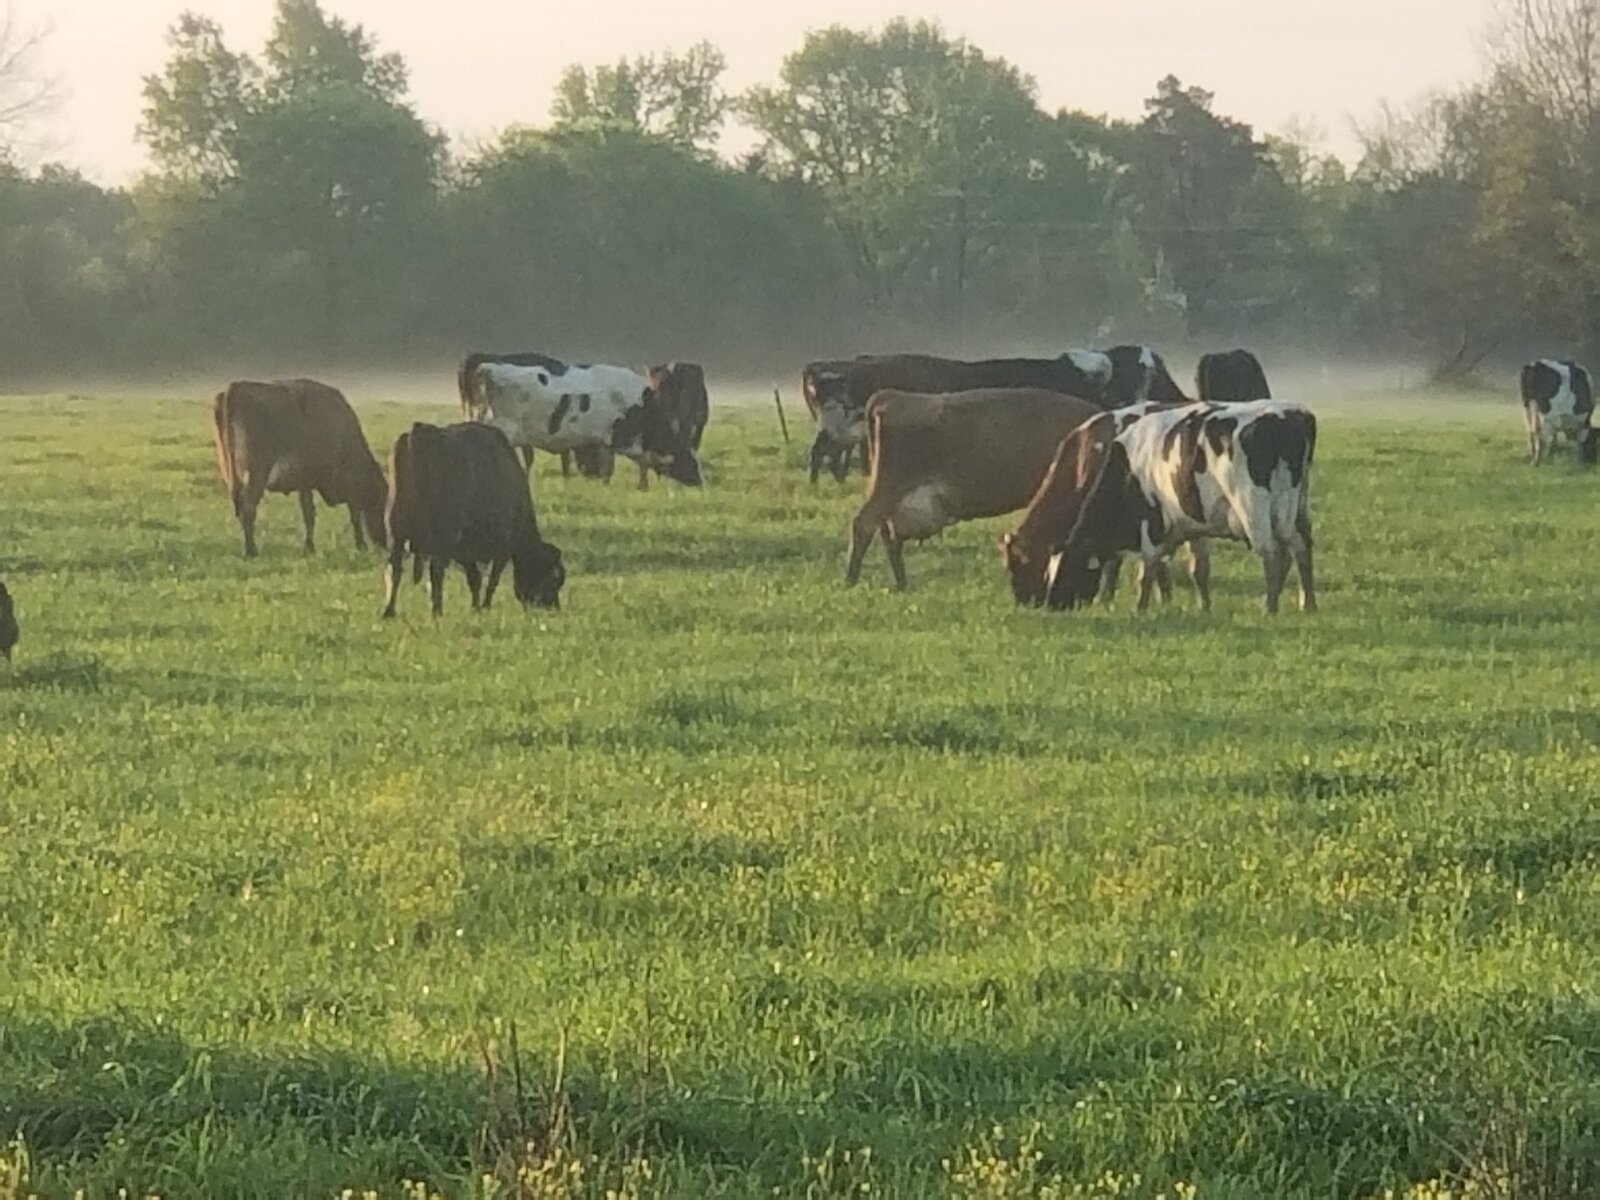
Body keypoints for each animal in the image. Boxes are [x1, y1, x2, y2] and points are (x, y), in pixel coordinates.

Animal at [211, 378, 388, 559]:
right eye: (382, 504)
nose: (384, 544)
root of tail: (236, 387)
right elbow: (348, 514)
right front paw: (360, 546)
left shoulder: (304, 483)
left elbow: (308, 513)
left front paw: (309, 547)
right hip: (256, 474)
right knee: (248, 508)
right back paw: (251, 551)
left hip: (231, 474)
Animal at [381, 422, 565, 619]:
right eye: (554, 578)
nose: (554, 607)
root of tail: (420, 431)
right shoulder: (502, 549)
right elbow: (492, 579)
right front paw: (484, 606)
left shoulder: (466, 552)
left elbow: (474, 579)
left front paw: (476, 607)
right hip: (441, 537)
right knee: (435, 572)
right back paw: (436, 610)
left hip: (396, 534)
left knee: (395, 568)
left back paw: (389, 611)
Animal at [457, 351, 703, 487]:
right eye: (691, 461)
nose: (700, 482)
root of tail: (486, 364)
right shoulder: (615, 438)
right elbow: (613, 466)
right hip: (498, 426)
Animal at [843, 388, 1105, 590]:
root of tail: (891, 396)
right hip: (890, 489)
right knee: (865, 525)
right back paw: (851, 581)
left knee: (887, 534)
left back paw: (901, 584)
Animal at [1044, 400, 1317, 615]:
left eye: (1068, 571)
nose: (1050, 605)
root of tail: (1290, 414)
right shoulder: (1193, 526)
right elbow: (1196, 569)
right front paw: (1203, 606)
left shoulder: (1152, 521)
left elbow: (1147, 569)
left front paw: (1140, 608)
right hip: (1295, 509)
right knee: (1301, 548)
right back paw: (1308, 604)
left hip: (1252, 507)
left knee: (1273, 554)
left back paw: (1269, 607)